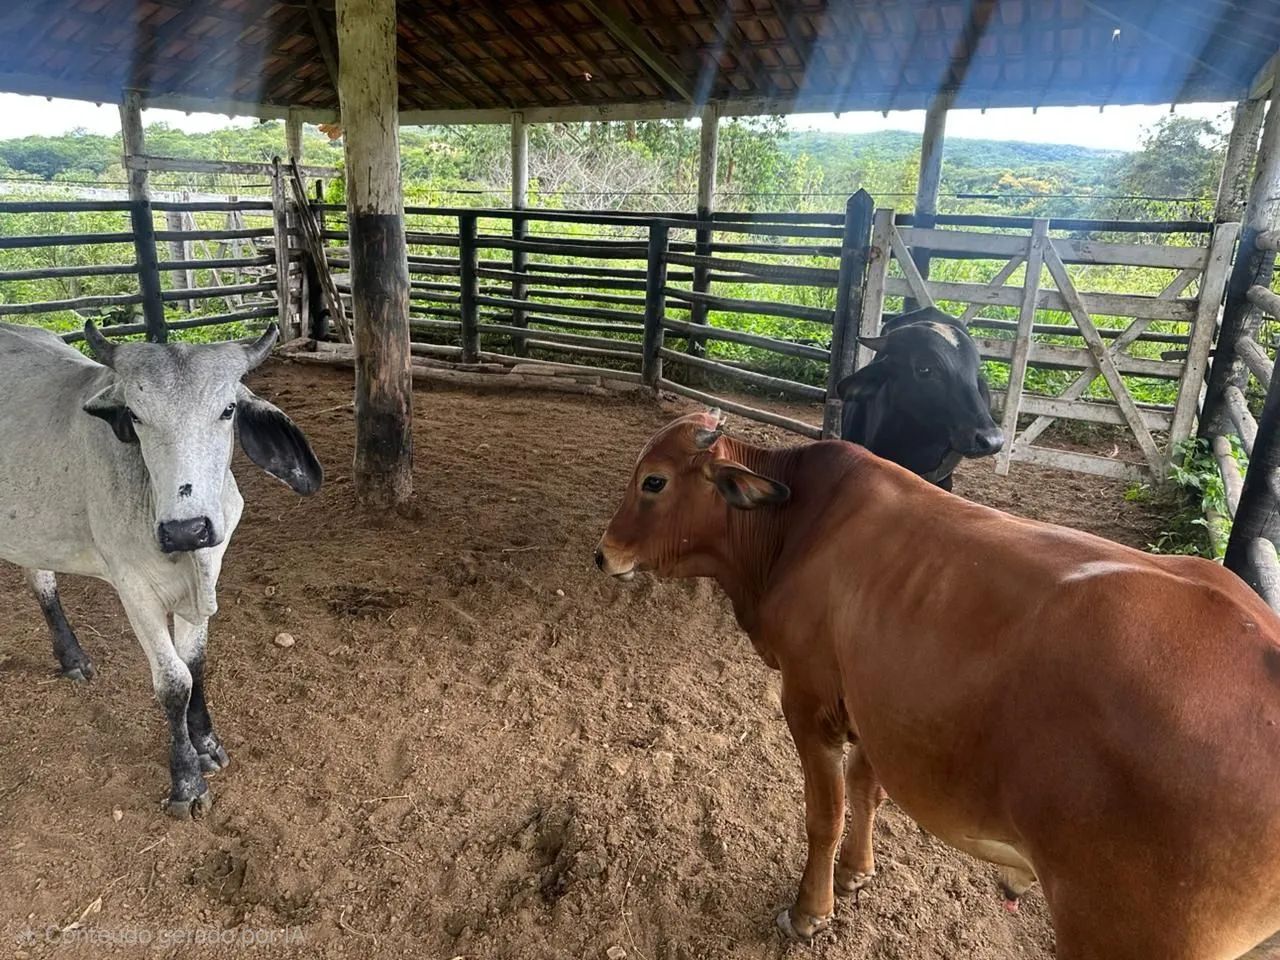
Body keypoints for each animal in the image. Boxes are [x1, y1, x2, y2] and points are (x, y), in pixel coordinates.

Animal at [0, 321, 322, 818]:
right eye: (134, 414)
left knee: (40, 575)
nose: (187, 528)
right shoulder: (134, 588)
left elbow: (197, 664)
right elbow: (173, 681)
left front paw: (206, 743)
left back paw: (72, 657)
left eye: (229, 409)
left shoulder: (209, 576)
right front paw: (186, 781)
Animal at [595, 409, 1280, 960]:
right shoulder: (878, 703)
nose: (603, 554)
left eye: (654, 480)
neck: (797, 527)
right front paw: (856, 874)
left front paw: (811, 911)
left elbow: (826, 813)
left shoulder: (810, 701)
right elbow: (867, 791)